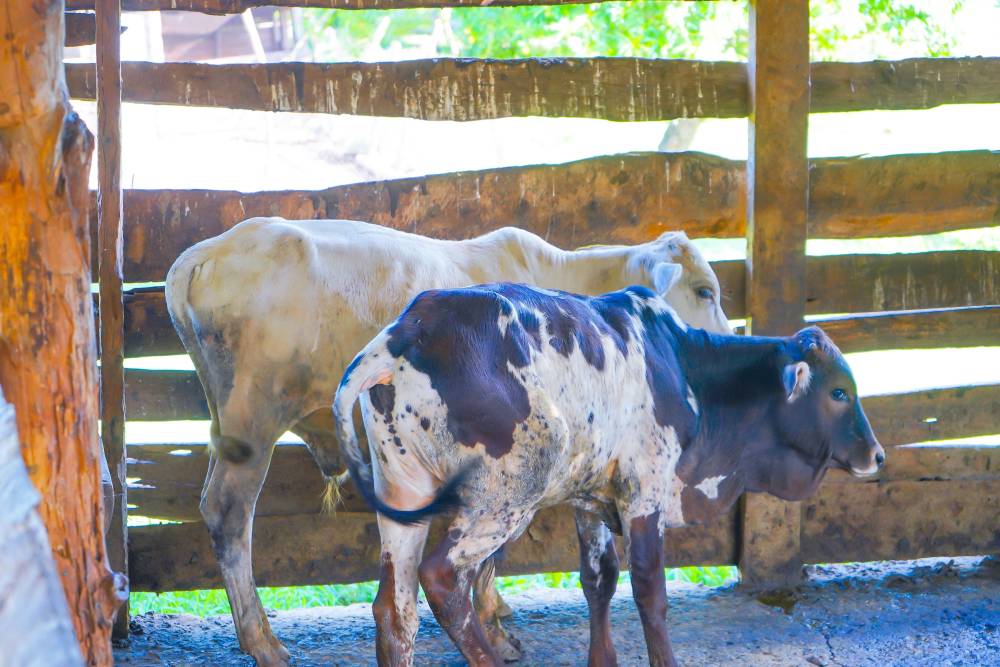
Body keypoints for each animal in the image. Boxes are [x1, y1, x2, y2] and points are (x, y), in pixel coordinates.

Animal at [164, 217, 732, 666]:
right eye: (705, 290)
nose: (725, 341)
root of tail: (203, 254)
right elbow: (487, 560)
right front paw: (496, 629)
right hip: (252, 425)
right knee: (228, 514)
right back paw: (261, 641)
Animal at [332, 281, 885, 667]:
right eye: (838, 392)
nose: (877, 455)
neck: (680, 366)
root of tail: (407, 333)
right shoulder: (645, 491)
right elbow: (649, 592)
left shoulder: (590, 498)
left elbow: (599, 580)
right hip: (505, 498)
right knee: (444, 578)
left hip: (403, 496)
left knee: (396, 608)